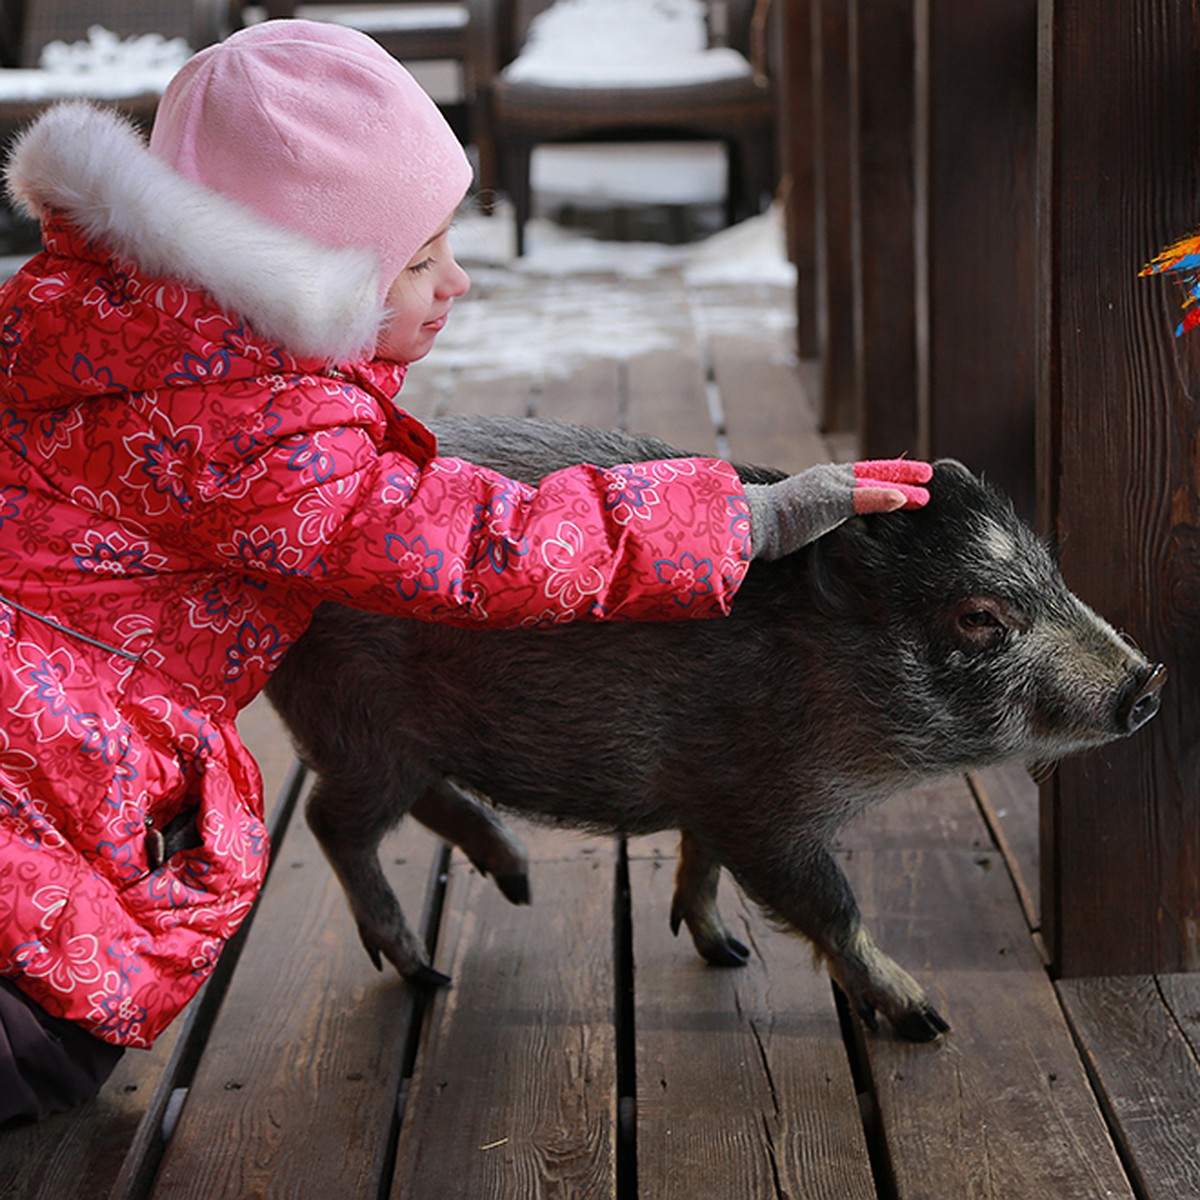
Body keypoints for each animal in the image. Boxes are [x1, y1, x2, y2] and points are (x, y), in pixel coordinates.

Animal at [265, 417, 1161, 1036]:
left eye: (1052, 573)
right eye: (979, 616)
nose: (1147, 684)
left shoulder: (713, 796)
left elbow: (700, 860)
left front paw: (723, 951)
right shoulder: (763, 811)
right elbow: (828, 901)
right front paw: (927, 1020)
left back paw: (516, 883)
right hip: (360, 726)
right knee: (329, 820)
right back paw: (427, 974)